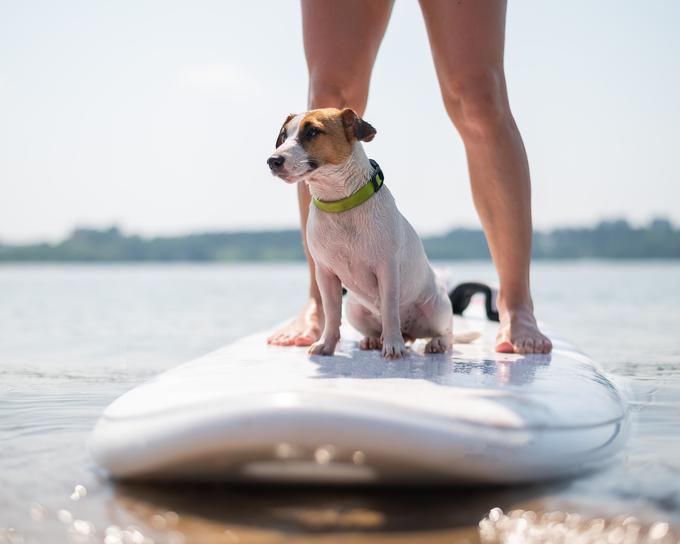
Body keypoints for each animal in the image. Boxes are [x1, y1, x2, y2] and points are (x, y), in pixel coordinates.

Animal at [266, 108, 478, 360]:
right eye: (283, 136)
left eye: (313, 131)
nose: (272, 161)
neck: (341, 204)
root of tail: (410, 333)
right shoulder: (325, 274)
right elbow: (331, 313)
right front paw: (326, 344)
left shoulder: (387, 270)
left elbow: (390, 309)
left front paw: (394, 346)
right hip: (355, 310)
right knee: (375, 328)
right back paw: (373, 340)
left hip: (436, 308)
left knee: (446, 334)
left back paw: (432, 342)